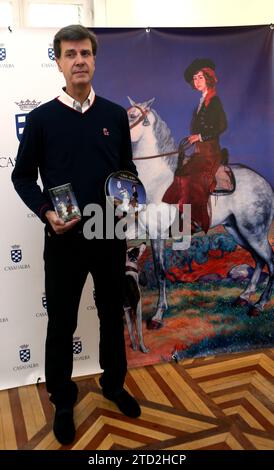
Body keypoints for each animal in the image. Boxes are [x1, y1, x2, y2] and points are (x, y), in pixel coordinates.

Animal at [127, 97, 274, 328]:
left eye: (133, 115)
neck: (157, 180)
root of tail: (265, 183)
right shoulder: (146, 231)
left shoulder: (158, 234)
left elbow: (160, 273)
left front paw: (158, 316)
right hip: (237, 232)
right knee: (259, 261)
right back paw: (243, 297)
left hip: (254, 233)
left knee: (270, 262)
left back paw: (258, 305)